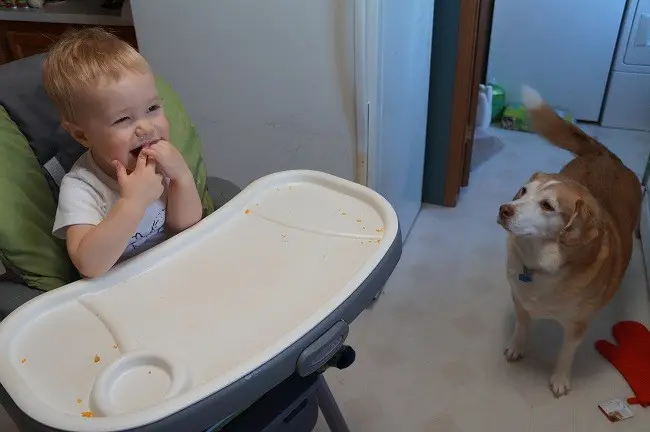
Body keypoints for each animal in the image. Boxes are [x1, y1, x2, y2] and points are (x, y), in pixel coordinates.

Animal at [496, 86, 636, 396]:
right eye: (522, 191)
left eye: (547, 206)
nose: (504, 209)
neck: (539, 265)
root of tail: (607, 155)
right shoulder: (519, 299)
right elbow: (521, 327)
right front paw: (516, 347)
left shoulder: (577, 325)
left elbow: (565, 354)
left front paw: (560, 380)